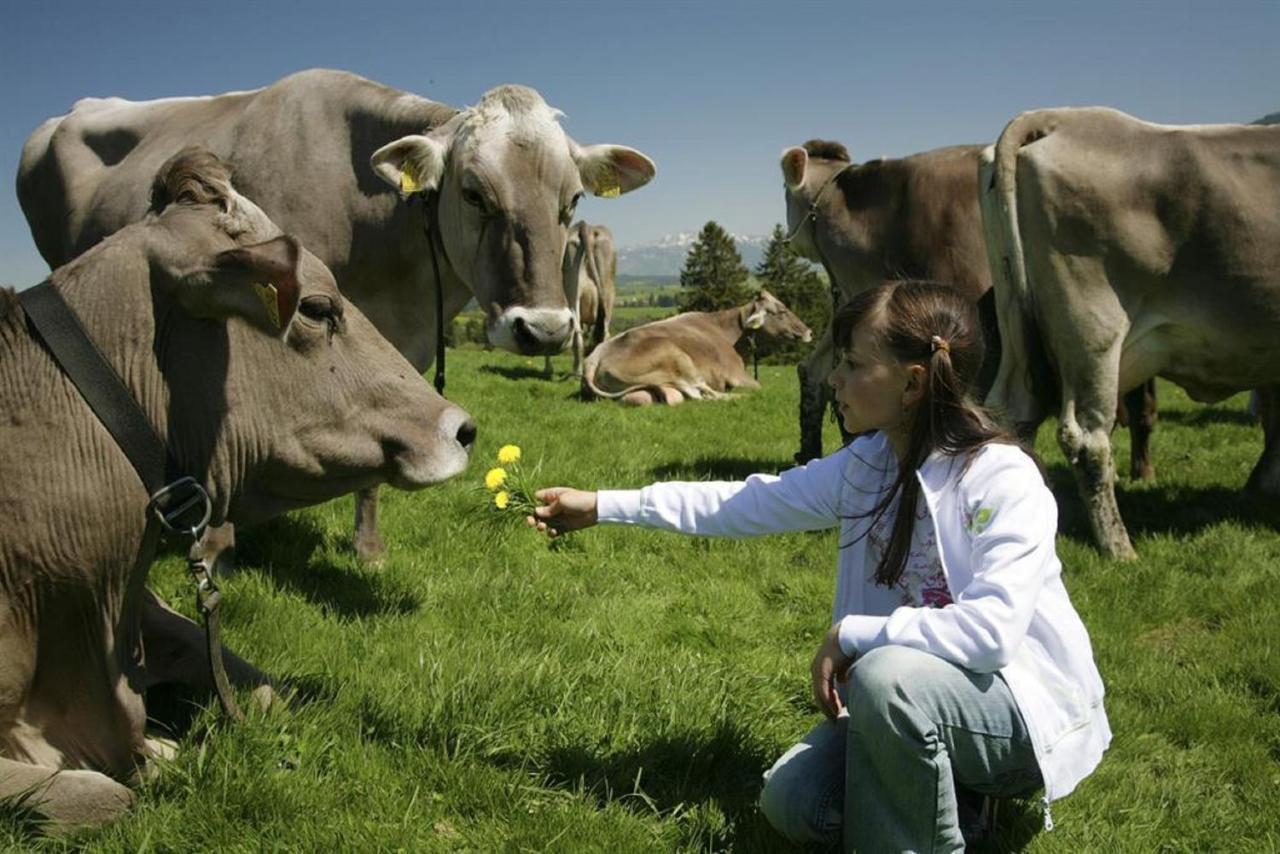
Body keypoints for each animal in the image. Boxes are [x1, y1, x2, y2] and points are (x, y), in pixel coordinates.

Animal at [581, 289, 808, 407]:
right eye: (782, 311)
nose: (809, 331)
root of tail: (594, 357)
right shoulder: (736, 374)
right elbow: (757, 386)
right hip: (679, 361)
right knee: (703, 393)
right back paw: (740, 397)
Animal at [977, 106, 1280, 558]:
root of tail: (1062, 116)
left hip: (1016, 322)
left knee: (1009, 416)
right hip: (1094, 331)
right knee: (1086, 439)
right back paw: (1120, 549)